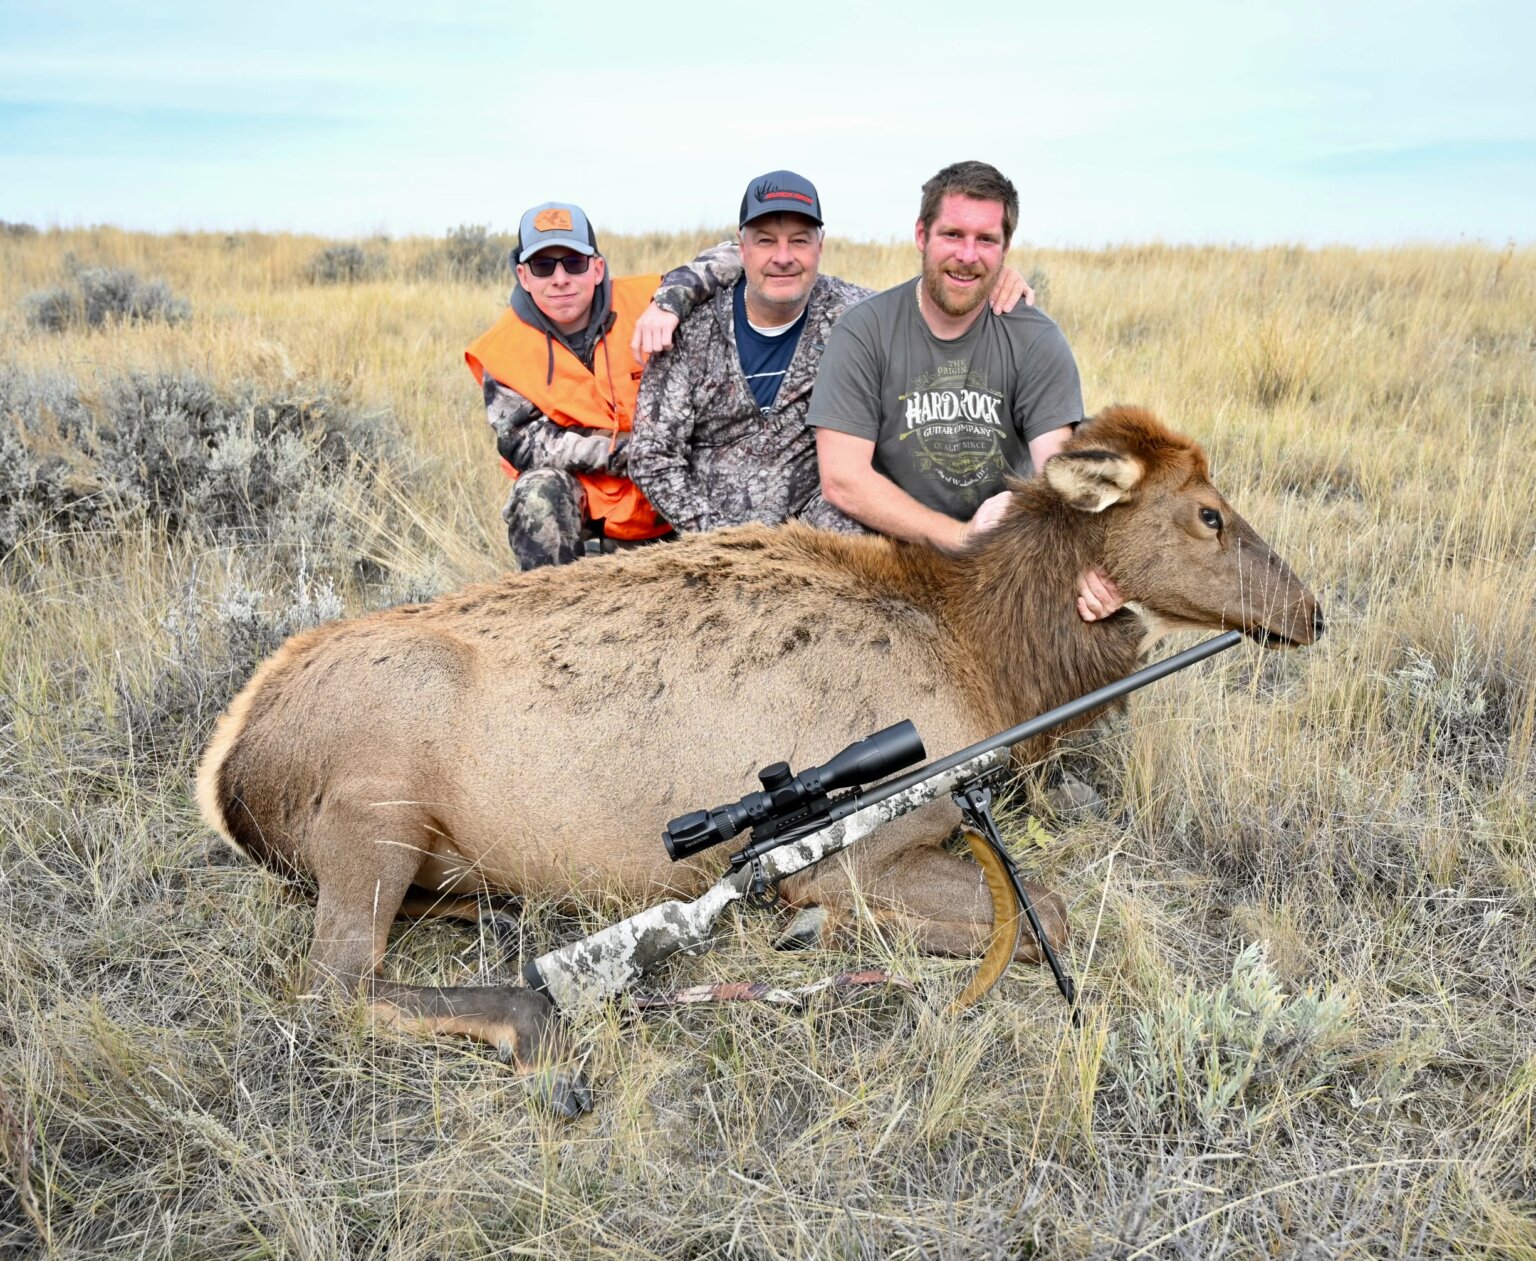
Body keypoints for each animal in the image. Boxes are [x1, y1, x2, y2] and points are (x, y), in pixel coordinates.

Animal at [195, 406, 1322, 1116]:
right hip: (373, 812)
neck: (986, 658)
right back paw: (534, 1022)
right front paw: (814, 932)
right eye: (1209, 512)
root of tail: (228, 772)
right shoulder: (865, 853)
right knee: (335, 980)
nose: (1311, 610)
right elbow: (1045, 899)